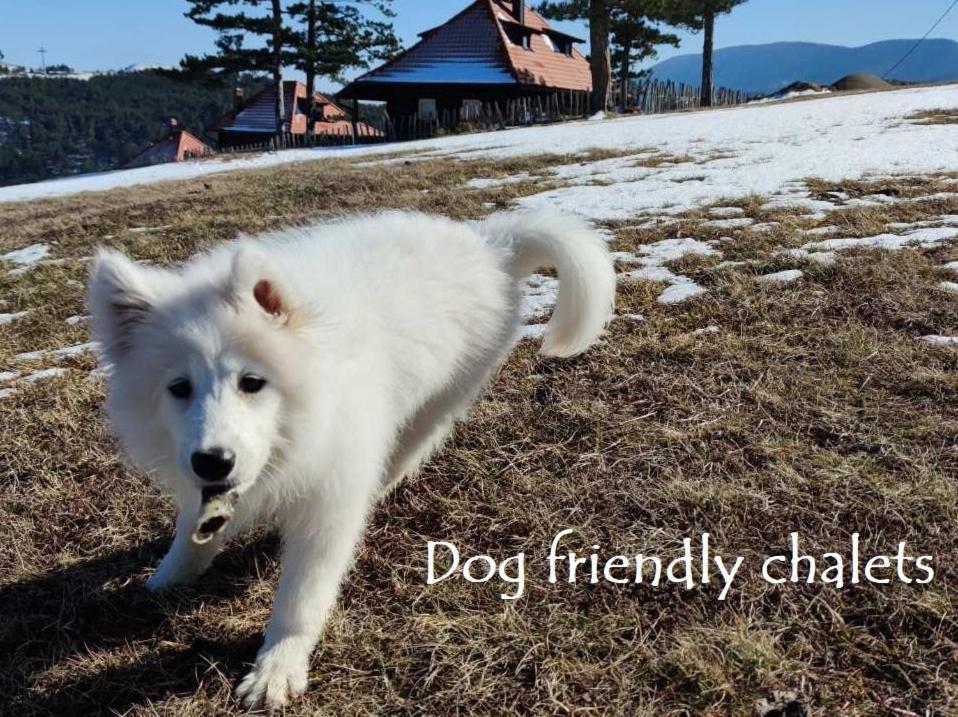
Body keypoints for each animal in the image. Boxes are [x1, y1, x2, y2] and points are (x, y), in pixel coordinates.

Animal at [90, 210, 616, 708]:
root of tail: (491, 243)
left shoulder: (328, 506)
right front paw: (167, 579)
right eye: (179, 388)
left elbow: (300, 598)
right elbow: (192, 532)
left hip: (436, 403)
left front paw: (277, 669)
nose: (212, 462)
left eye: (251, 382)